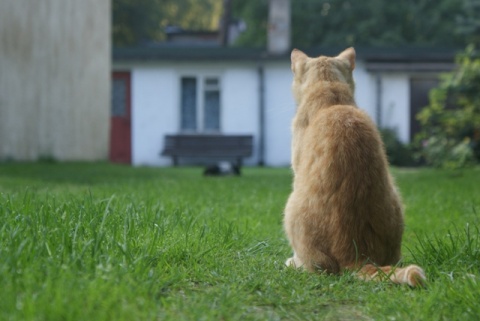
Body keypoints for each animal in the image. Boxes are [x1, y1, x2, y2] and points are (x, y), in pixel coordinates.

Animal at [284, 48, 426, 288]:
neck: (331, 96)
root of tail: (356, 256)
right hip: (396, 200)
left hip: (290, 208)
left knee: (315, 268)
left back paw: (293, 263)